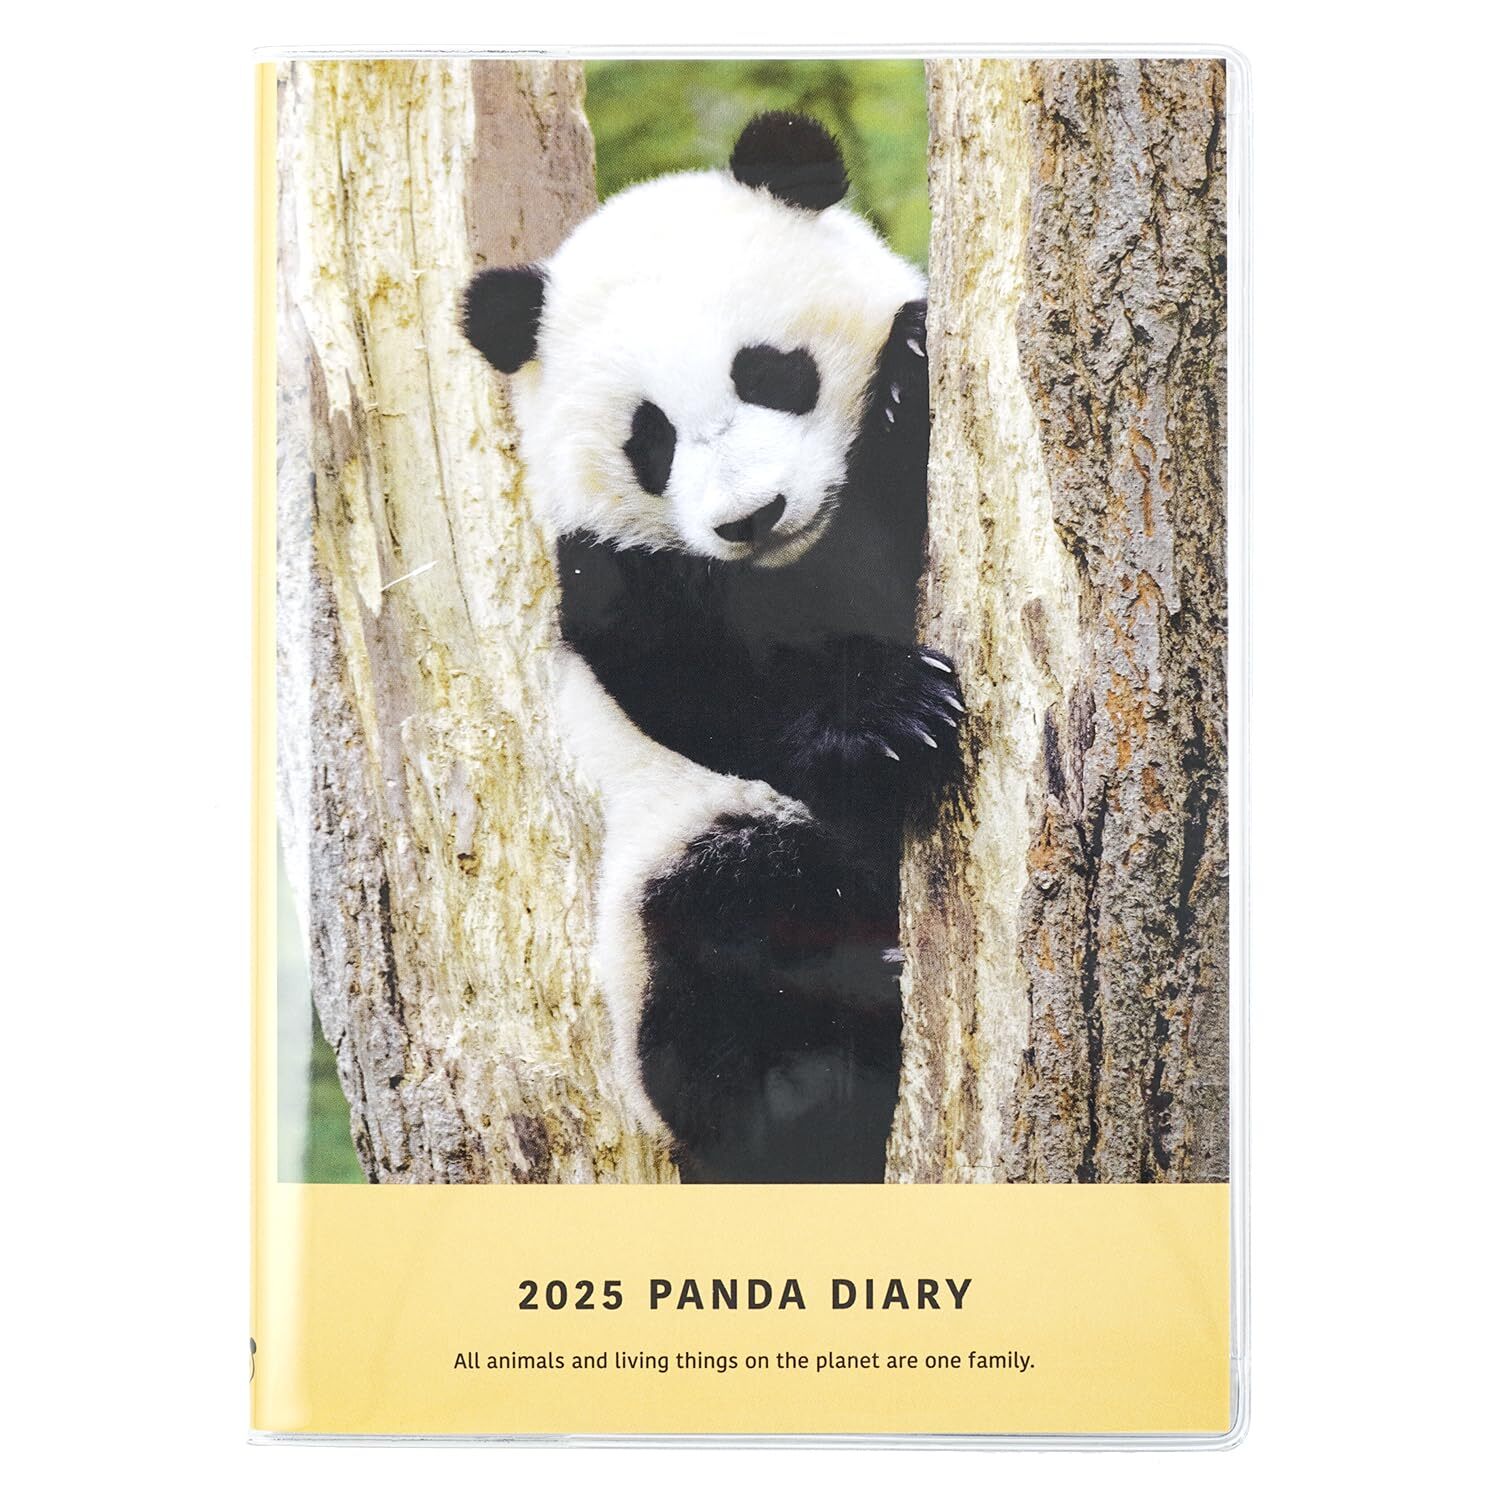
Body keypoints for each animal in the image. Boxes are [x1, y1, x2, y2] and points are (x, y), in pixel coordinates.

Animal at [462, 113, 965, 1184]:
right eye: (649, 437)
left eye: (769, 371)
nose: (751, 517)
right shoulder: (611, 566)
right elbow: (700, 683)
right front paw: (892, 718)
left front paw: (907, 379)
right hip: (674, 874)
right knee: (726, 946)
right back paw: (835, 1069)